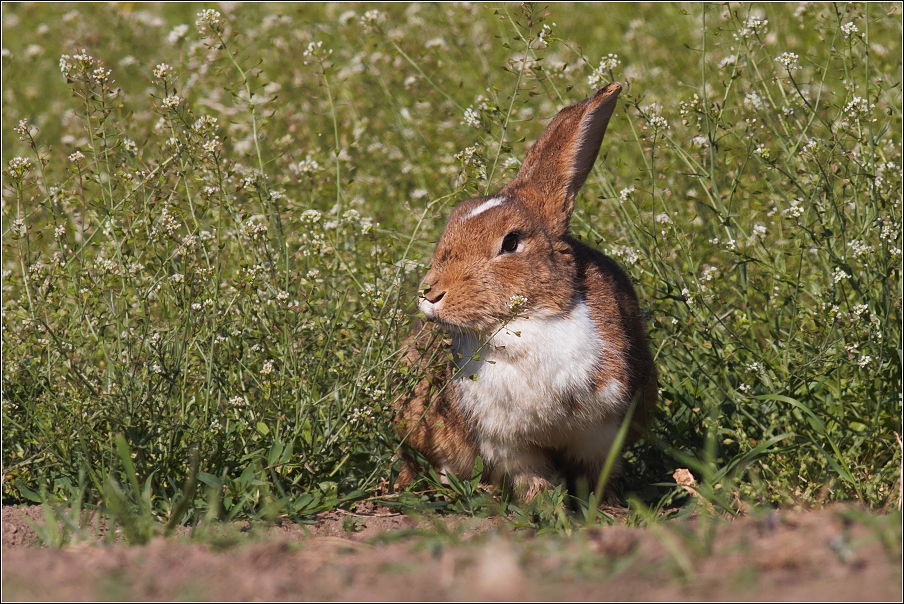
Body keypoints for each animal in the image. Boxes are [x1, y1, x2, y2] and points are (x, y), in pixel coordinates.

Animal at [396, 82, 656, 502]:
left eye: (511, 242)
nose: (430, 294)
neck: (532, 319)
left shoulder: (601, 431)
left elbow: (597, 473)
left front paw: (606, 506)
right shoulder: (506, 442)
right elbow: (532, 479)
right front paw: (545, 507)